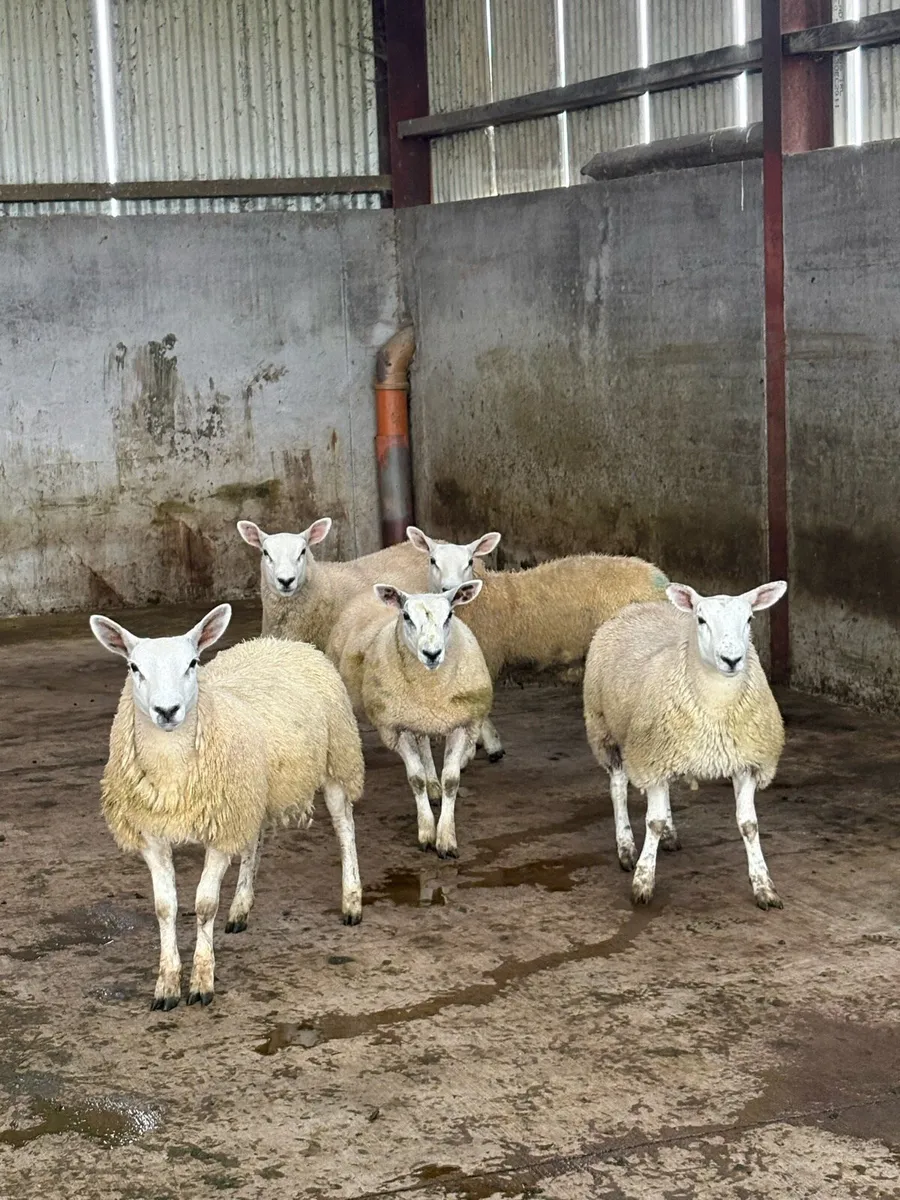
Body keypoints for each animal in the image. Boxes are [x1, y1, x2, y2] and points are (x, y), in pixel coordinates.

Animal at [89, 604, 365, 1011]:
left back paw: (351, 902)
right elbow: (164, 907)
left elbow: (204, 904)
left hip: (337, 759)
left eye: (192, 663)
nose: (167, 710)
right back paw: (240, 909)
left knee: (345, 828)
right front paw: (166, 985)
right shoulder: (154, 833)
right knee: (256, 842)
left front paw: (202, 981)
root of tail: (283, 642)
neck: (172, 772)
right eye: (134, 667)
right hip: (254, 792)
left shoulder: (220, 830)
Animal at [326, 580, 491, 859]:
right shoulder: (396, 727)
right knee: (421, 743)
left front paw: (446, 838)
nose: (431, 653)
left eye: (450, 615)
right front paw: (426, 832)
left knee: (424, 742)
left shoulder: (461, 723)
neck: (430, 690)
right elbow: (416, 779)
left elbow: (451, 781)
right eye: (406, 616)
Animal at [406, 526, 670, 762]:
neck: (483, 599)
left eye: (470, 562)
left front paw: (478, 750)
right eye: (433, 560)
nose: (451, 589)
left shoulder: (486, 659)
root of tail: (659, 579)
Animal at [583, 580, 788, 910]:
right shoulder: (651, 754)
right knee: (618, 789)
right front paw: (642, 882)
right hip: (607, 731)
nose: (732, 660)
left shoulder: (746, 762)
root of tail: (642, 604)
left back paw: (669, 834)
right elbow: (651, 822)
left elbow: (749, 825)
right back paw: (626, 847)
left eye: (749, 619)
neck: (716, 707)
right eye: (701, 620)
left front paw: (764, 886)